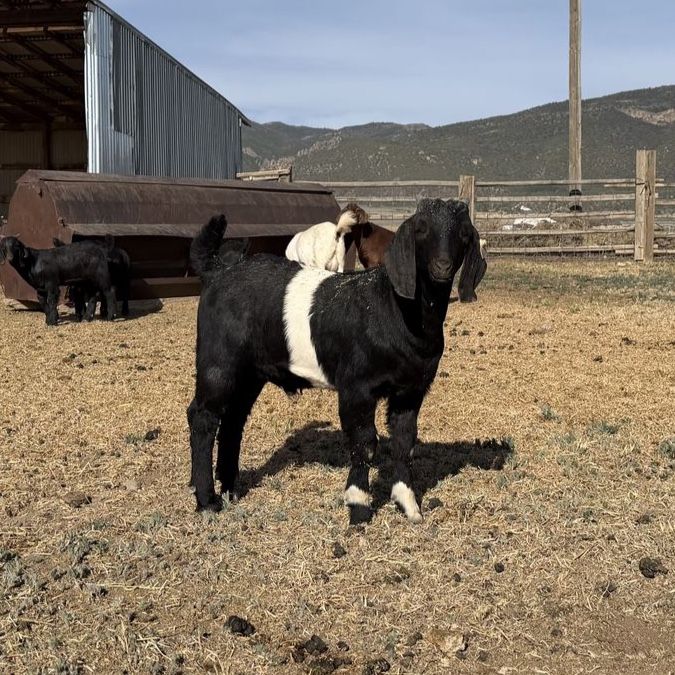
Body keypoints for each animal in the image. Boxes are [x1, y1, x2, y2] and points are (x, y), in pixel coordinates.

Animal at [187, 198, 486, 525]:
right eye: (421, 229)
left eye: (464, 235)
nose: (442, 266)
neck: (396, 309)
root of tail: (217, 271)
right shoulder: (356, 388)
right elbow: (365, 443)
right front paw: (359, 506)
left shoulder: (411, 391)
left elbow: (404, 441)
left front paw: (409, 504)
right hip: (218, 361)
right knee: (203, 417)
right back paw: (207, 500)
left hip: (250, 372)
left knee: (233, 420)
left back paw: (230, 488)